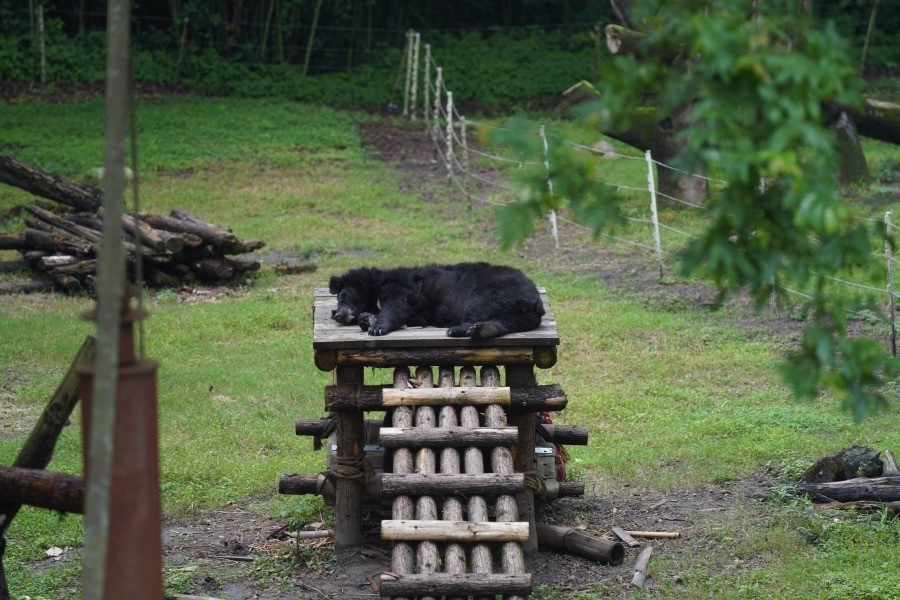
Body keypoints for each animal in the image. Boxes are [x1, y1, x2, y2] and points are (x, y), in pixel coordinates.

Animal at [328, 262, 544, 338]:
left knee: (478, 306)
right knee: (506, 322)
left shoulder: (402, 287)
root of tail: (535, 300)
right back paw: (485, 330)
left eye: (343, 296)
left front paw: (377, 327)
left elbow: (397, 304)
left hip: (496, 290)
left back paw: (458, 329)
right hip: (520, 314)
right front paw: (366, 318)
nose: (338, 315)